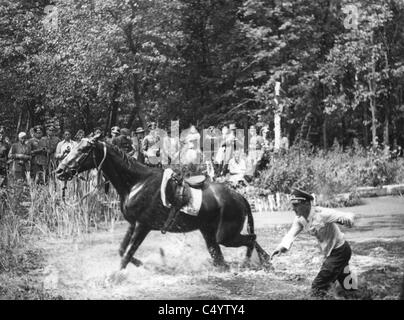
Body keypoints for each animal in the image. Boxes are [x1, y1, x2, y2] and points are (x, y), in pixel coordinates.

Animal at [56, 134, 272, 272]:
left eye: (83, 149)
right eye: (70, 148)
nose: (59, 171)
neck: (135, 182)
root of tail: (239, 197)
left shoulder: (142, 226)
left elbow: (126, 254)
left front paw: (113, 278)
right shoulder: (133, 224)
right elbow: (123, 251)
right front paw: (147, 265)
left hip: (224, 235)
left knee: (250, 239)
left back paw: (249, 262)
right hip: (210, 234)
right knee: (225, 256)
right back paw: (264, 260)